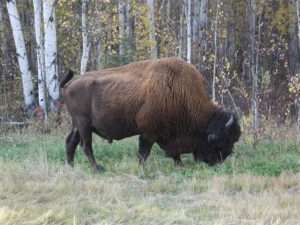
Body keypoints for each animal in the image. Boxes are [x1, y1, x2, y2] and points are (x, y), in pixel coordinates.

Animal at [61, 57, 241, 171]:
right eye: (219, 141)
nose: (217, 162)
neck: (179, 93)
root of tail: (69, 83)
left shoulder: (164, 135)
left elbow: (173, 153)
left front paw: (180, 166)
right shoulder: (149, 133)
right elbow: (144, 153)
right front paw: (141, 168)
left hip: (77, 125)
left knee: (71, 142)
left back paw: (70, 166)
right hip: (84, 124)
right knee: (86, 145)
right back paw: (97, 168)